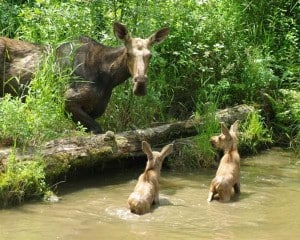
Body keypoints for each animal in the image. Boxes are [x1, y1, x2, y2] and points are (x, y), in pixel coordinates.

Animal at [0, 22, 169, 133]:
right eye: (128, 53)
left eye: (150, 55)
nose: (140, 84)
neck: (109, 79)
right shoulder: (67, 101)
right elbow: (98, 130)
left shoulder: (95, 110)